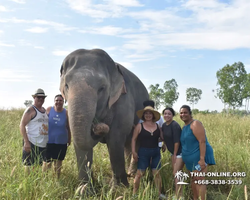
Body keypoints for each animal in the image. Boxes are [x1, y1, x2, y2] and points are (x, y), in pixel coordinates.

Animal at [59, 48, 148, 186]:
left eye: (102, 88)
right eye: (67, 86)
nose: (99, 127)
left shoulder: (123, 100)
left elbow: (115, 139)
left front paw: (119, 188)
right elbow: (80, 143)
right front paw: (84, 189)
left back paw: (133, 175)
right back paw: (130, 174)